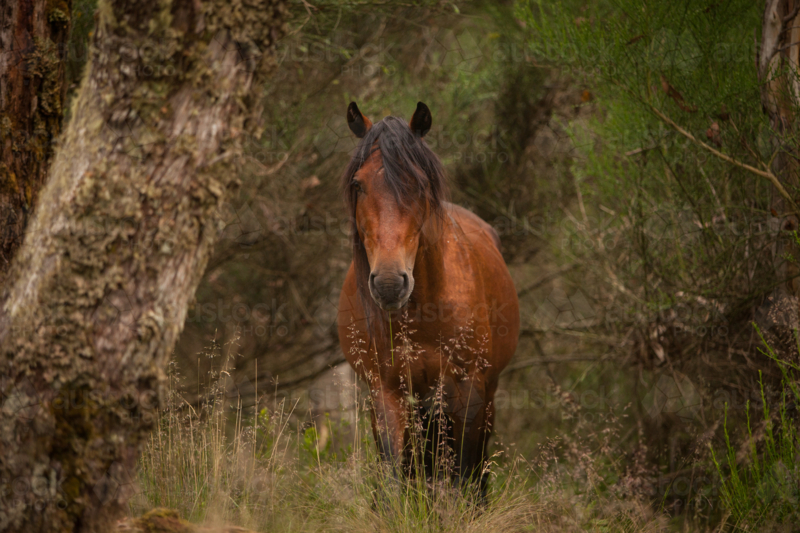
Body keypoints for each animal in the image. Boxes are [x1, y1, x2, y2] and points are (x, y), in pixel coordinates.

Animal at [336, 101, 520, 493]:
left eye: (419, 184)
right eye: (359, 184)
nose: (389, 283)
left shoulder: (468, 390)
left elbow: (461, 478)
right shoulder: (386, 391)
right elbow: (394, 478)